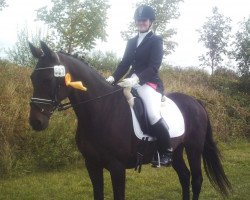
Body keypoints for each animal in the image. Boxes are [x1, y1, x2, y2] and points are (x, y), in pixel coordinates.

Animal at [28, 41, 231, 200]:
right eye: (32, 77)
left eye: (48, 78)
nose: (35, 122)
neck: (101, 110)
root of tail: (196, 101)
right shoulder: (92, 165)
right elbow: (98, 194)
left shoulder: (117, 168)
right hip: (176, 149)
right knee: (184, 176)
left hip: (193, 147)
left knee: (196, 180)